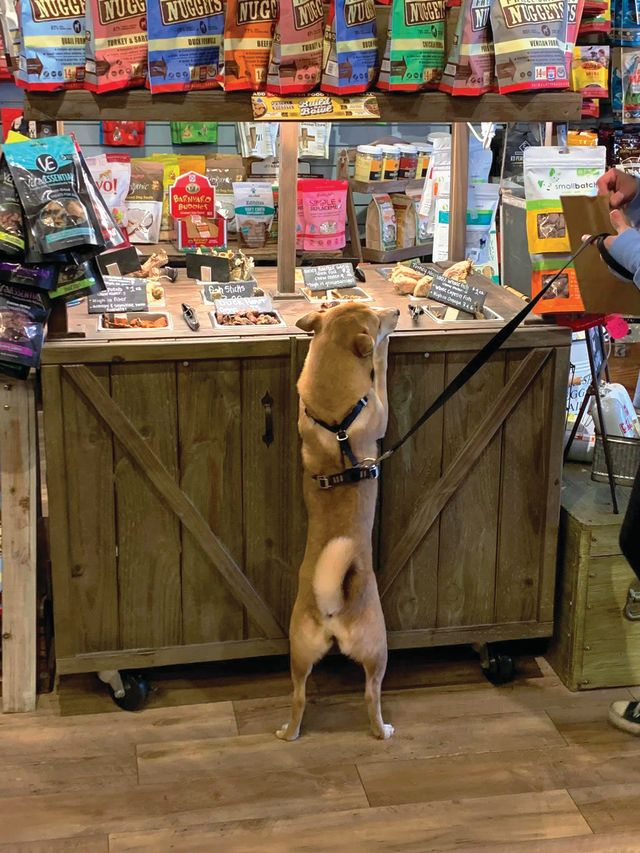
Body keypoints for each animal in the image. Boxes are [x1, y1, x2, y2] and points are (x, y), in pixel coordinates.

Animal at [276, 302, 400, 740]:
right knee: (371, 696)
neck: (336, 420)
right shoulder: (379, 411)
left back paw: (288, 732)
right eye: (378, 319)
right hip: (378, 648)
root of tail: (332, 608)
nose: (397, 311)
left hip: (298, 651)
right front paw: (382, 352)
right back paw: (384, 731)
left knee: (298, 698)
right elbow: (379, 373)